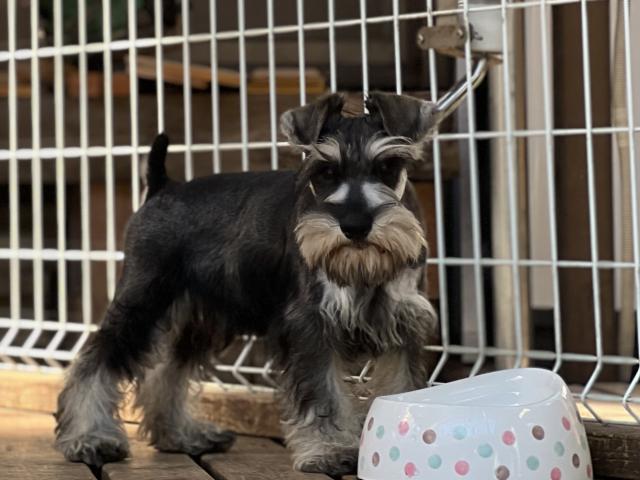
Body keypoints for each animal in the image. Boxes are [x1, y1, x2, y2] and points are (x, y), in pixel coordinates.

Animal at [55, 92, 441, 475]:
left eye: (387, 167)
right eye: (326, 172)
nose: (356, 226)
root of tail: (162, 186)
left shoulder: (403, 323)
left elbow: (403, 384)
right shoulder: (311, 326)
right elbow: (323, 393)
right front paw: (328, 450)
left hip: (198, 319)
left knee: (167, 372)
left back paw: (181, 435)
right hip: (143, 299)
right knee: (95, 361)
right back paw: (89, 438)